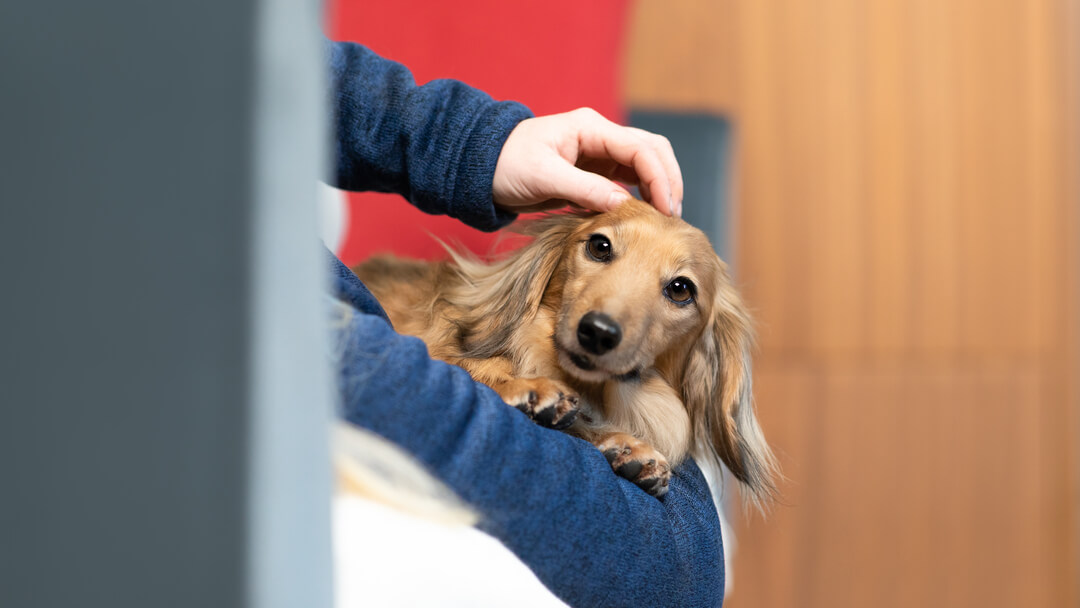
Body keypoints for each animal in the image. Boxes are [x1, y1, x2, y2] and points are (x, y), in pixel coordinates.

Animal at [356, 199, 777, 505]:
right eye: (600, 246)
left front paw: (625, 447)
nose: (598, 333)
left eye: (680, 289)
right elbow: (473, 369)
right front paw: (528, 389)